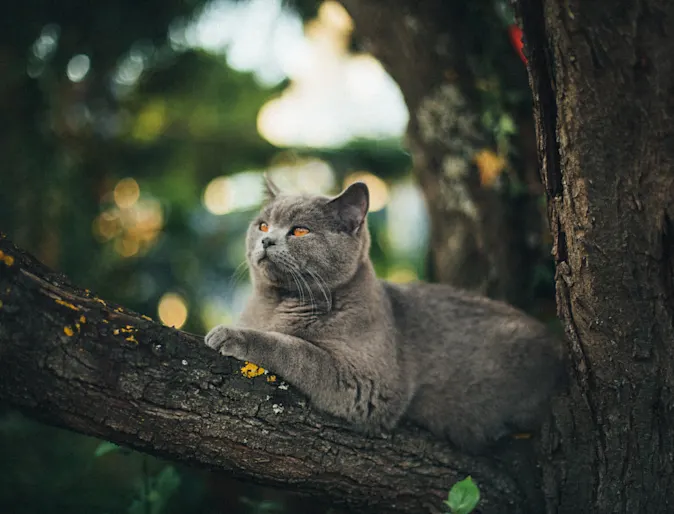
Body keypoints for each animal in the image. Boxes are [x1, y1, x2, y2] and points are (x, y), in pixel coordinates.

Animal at [206, 177, 568, 452]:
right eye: (263, 225)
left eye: (299, 231)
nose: (266, 240)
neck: (276, 304)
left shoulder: (366, 383)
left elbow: (297, 350)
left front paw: (229, 335)